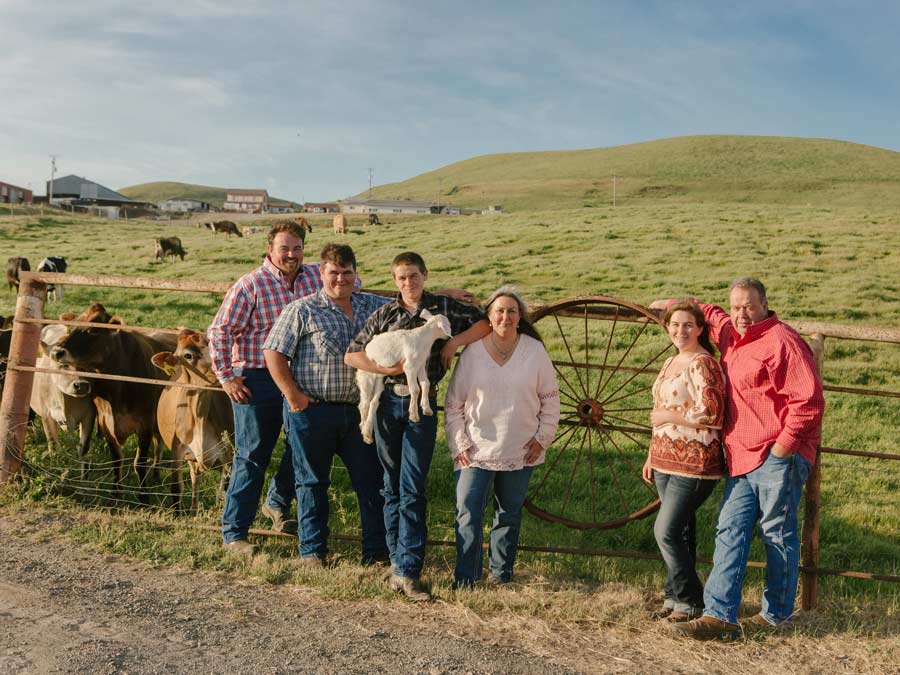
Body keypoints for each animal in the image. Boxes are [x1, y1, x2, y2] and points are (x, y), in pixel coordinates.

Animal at [29, 324, 96, 468]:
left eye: (86, 364)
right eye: (63, 365)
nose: (82, 385)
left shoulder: (90, 415)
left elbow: (83, 447)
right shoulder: (46, 414)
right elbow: (53, 443)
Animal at [51, 304, 178, 500]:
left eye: (94, 330)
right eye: (70, 327)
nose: (57, 352)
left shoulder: (145, 424)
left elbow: (140, 463)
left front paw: (143, 496)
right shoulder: (105, 423)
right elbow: (116, 460)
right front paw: (116, 492)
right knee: (158, 445)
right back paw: (156, 475)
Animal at [152, 330, 234, 516]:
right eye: (187, 355)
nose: (222, 370)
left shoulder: (228, 455)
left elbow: (223, 492)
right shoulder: (177, 451)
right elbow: (176, 487)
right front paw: (178, 515)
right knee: (195, 477)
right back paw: (193, 510)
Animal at [356, 310, 454, 444]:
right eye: (447, 324)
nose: (448, 336)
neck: (424, 338)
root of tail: (368, 346)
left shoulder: (420, 364)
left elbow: (426, 383)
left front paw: (426, 408)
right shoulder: (410, 366)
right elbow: (415, 389)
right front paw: (414, 414)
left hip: (379, 379)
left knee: (373, 403)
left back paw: (367, 433)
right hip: (367, 376)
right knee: (363, 404)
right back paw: (363, 428)